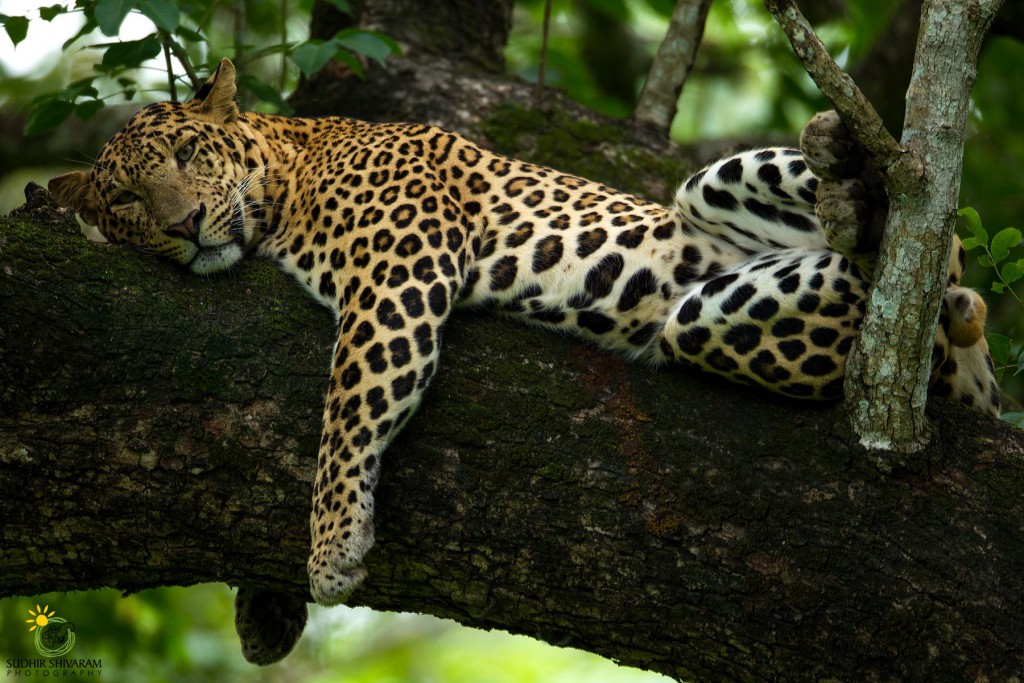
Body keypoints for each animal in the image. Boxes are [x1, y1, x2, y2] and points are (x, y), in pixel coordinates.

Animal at [48, 58, 999, 663]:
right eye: (126, 198)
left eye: (187, 154)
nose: (182, 225)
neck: (291, 170)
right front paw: (266, 607)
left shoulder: (399, 272)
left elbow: (347, 407)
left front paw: (331, 543)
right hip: (712, 311)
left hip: (724, 189)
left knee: (936, 249)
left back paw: (860, 179)